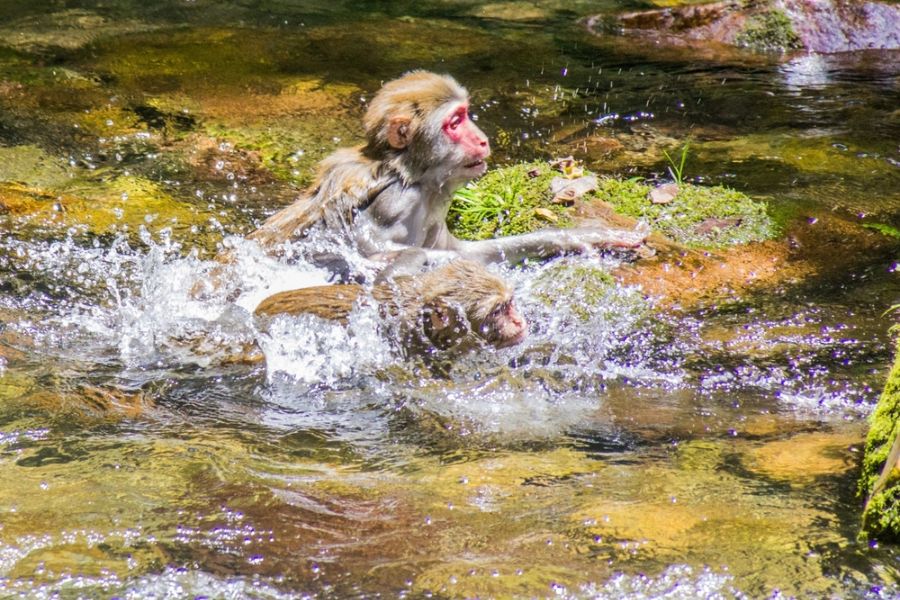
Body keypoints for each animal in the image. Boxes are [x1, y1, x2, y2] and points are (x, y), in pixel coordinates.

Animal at [246, 70, 648, 278]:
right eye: (455, 123)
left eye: (466, 114)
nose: (483, 139)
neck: (415, 176)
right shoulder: (396, 201)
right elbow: (370, 250)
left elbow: (472, 254)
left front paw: (581, 237)